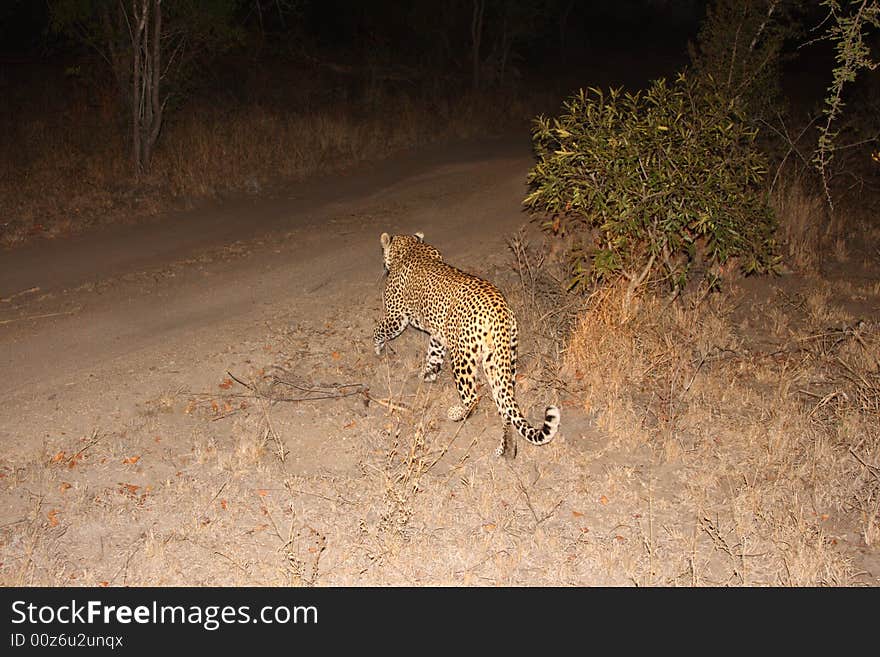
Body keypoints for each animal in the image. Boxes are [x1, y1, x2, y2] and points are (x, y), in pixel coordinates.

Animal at [372, 231, 556, 456]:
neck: (411, 248)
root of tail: (500, 310)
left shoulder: (396, 317)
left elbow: (380, 331)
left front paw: (377, 349)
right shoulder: (438, 334)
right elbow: (433, 355)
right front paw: (428, 375)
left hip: (463, 356)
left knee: (473, 397)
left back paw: (455, 413)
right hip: (500, 359)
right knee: (505, 404)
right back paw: (503, 448)